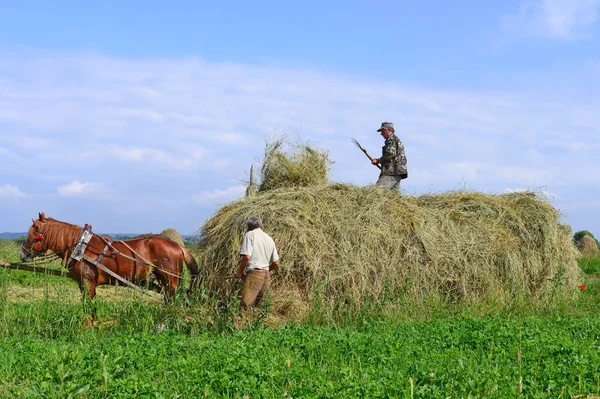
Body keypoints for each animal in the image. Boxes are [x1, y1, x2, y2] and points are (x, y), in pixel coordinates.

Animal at [20, 214, 199, 320]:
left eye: (33, 234)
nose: (23, 254)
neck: (80, 247)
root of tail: (178, 246)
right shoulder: (83, 284)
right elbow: (89, 305)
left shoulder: (88, 282)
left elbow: (89, 305)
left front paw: (90, 326)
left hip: (170, 280)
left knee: (174, 300)